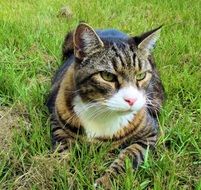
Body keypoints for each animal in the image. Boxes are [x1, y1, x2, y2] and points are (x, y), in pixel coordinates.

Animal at [46, 22, 165, 189]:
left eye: (141, 76)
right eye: (107, 76)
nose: (131, 100)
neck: (102, 112)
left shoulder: (149, 134)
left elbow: (129, 157)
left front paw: (105, 181)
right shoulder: (58, 123)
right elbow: (62, 152)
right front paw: (64, 177)